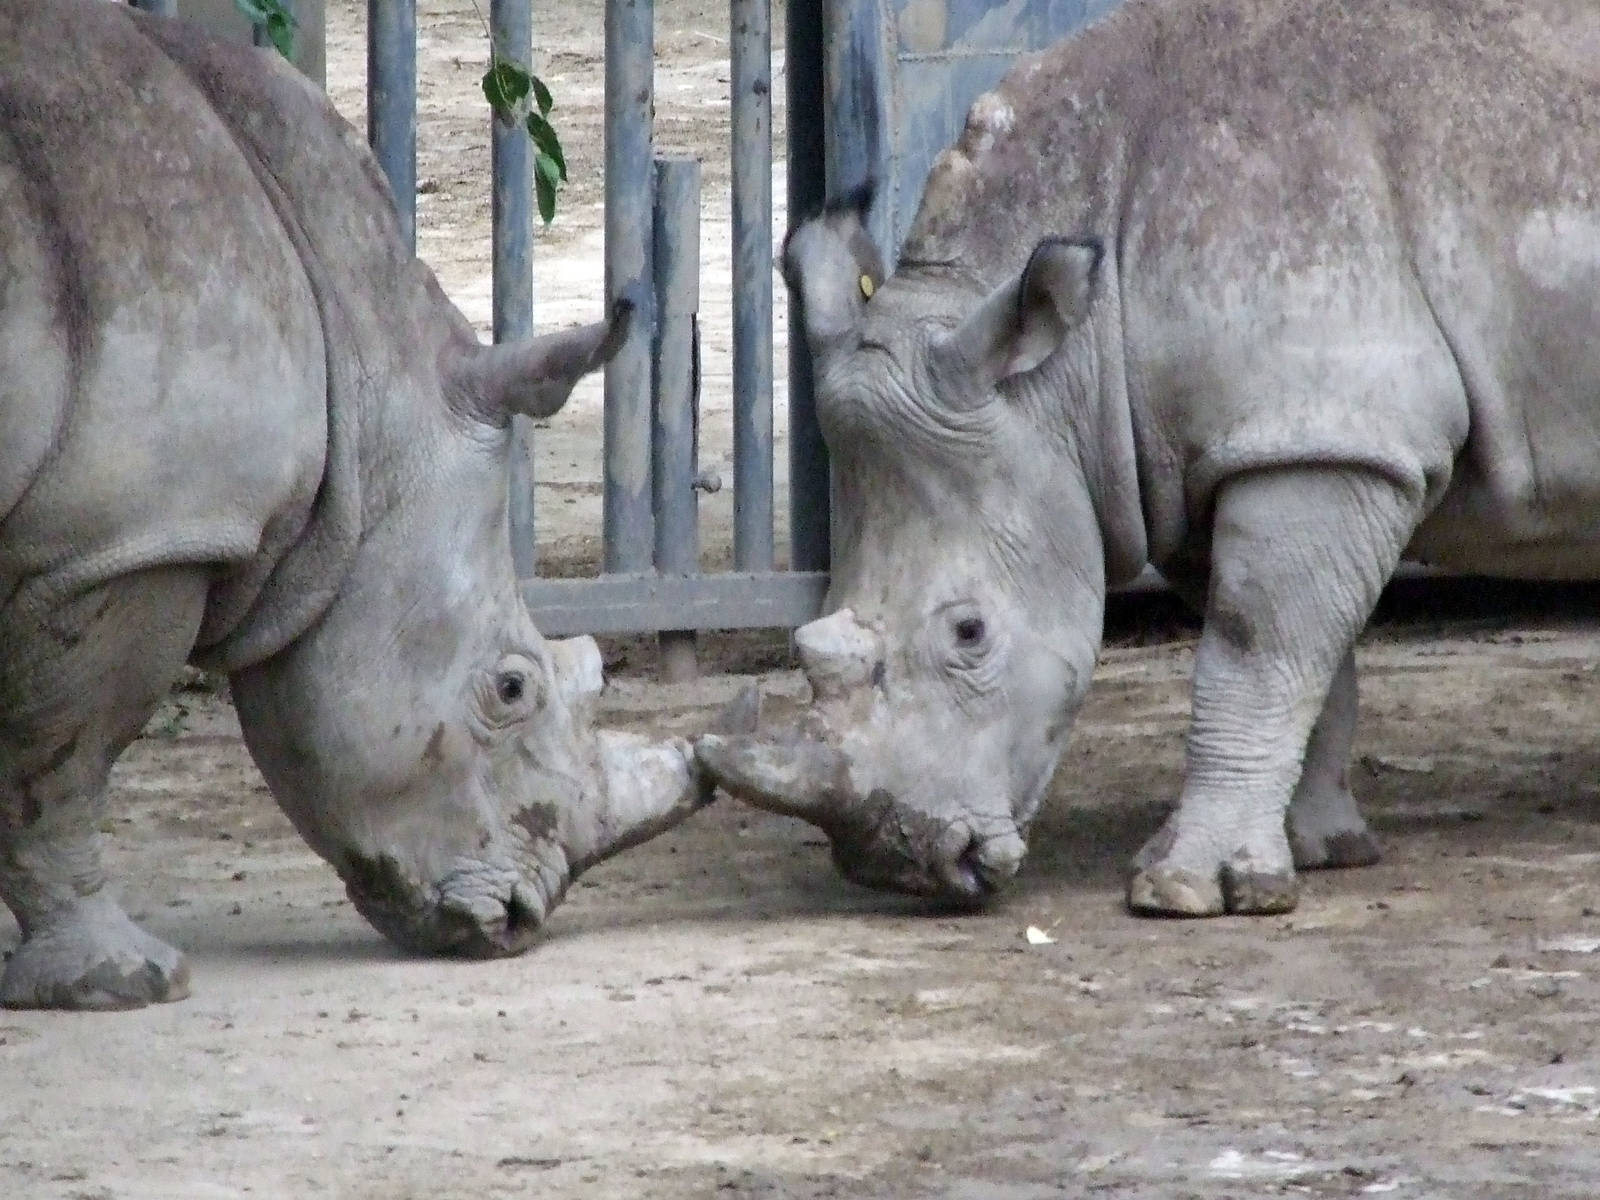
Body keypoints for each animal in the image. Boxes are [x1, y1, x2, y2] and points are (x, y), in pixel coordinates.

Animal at [0, 0, 734, 1011]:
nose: (519, 923)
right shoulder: (124, 537)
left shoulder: (103, 529)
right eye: (512, 689)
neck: (358, 374)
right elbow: (63, 759)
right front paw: (120, 981)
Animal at [698, 0, 1600, 915]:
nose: (898, 862)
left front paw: (1188, 890)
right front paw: (1317, 852)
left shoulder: (1327, 436)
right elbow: (1304, 661)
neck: (1067, 362)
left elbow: (1254, 649)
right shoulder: (1226, 453)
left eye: (970, 633)